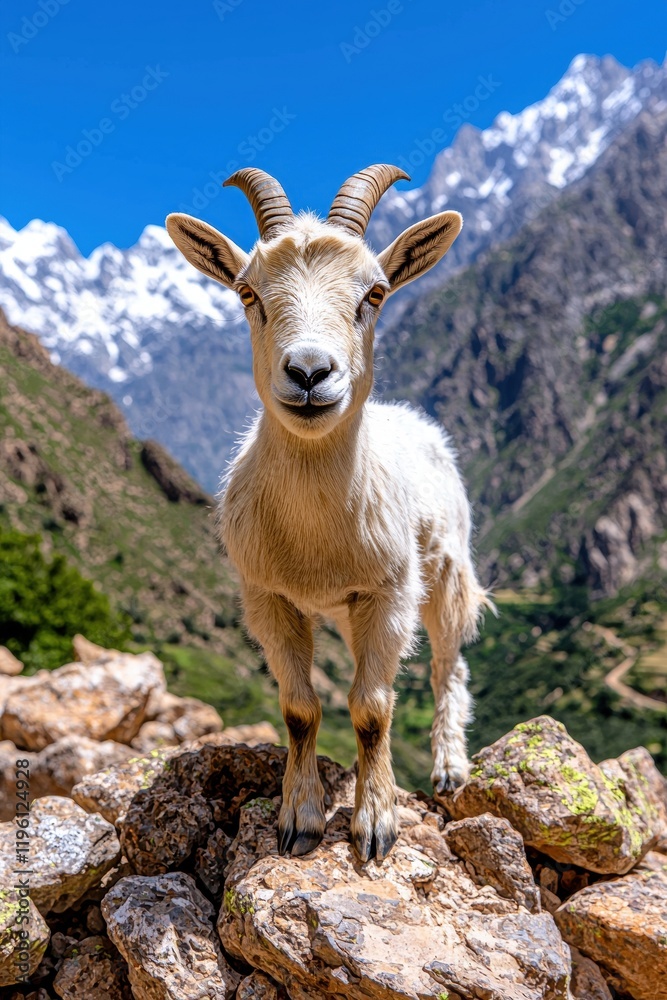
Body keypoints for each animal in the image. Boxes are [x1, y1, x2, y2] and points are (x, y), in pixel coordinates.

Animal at [166, 165, 490, 862]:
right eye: (247, 292)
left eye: (376, 293)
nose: (310, 372)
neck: (316, 534)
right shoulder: (268, 597)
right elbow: (300, 709)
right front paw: (300, 818)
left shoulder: (389, 593)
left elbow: (372, 707)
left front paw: (375, 822)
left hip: (446, 570)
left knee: (448, 662)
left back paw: (450, 766)